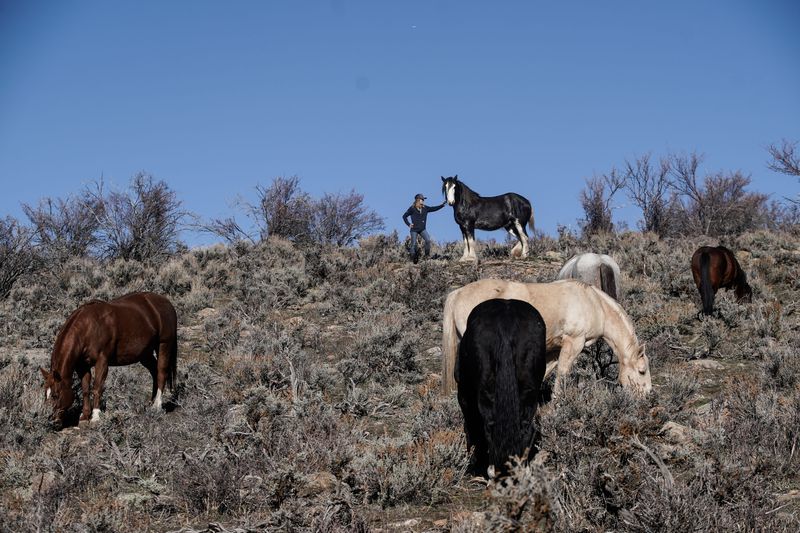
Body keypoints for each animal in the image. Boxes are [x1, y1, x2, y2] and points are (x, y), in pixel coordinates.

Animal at [39, 292, 178, 428]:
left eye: (55, 395)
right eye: (45, 394)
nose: (50, 420)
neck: (88, 328)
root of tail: (167, 303)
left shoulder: (102, 362)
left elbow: (97, 387)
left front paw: (95, 417)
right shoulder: (82, 366)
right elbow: (85, 389)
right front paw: (84, 417)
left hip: (164, 345)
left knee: (161, 373)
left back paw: (157, 406)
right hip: (145, 354)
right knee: (154, 371)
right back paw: (151, 402)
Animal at [441, 278, 651, 395]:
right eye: (642, 372)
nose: (648, 395)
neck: (594, 303)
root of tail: (458, 293)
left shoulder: (554, 349)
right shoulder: (573, 343)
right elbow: (562, 374)